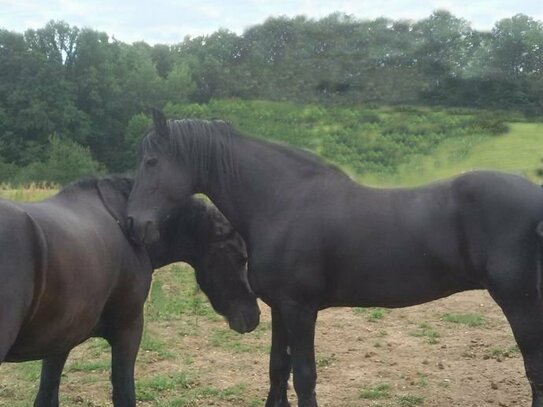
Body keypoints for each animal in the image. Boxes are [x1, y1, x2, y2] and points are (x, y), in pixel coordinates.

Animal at [0, 177, 260, 407]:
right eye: (241, 256)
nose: (253, 317)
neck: (128, 230)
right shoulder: (128, 330)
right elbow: (124, 395)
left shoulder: (61, 341)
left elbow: (47, 397)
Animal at [127, 108, 543, 407]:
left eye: (151, 162)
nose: (133, 223)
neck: (282, 202)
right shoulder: (280, 308)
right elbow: (278, 370)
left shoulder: (300, 309)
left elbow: (304, 376)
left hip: (520, 302)